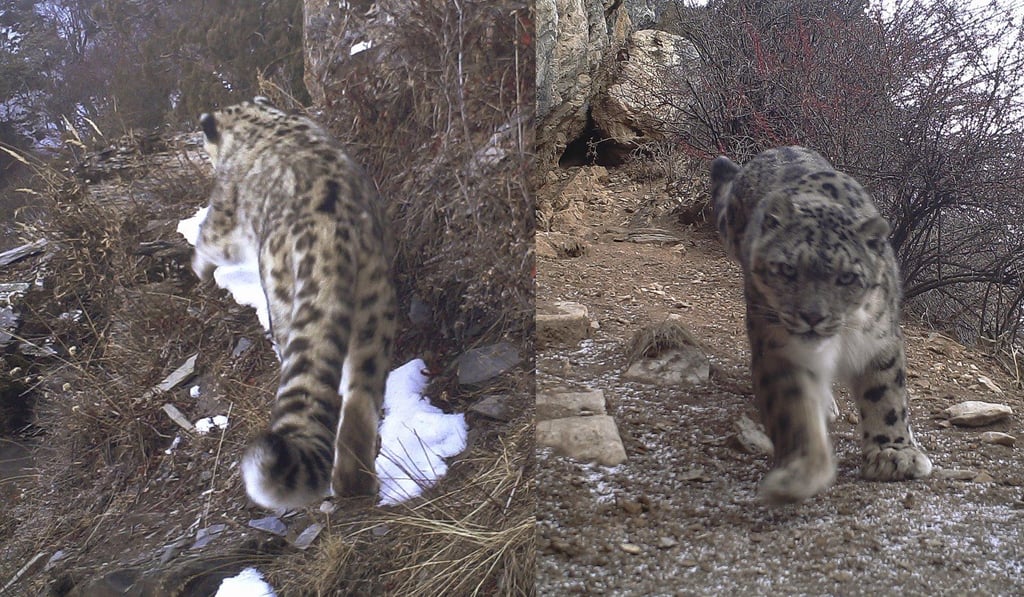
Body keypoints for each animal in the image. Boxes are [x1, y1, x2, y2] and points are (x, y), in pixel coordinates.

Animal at [192, 97, 396, 509]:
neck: (259, 120)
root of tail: (333, 241)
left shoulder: (223, 213)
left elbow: (208, 240)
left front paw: (197, 265)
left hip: (285, 302)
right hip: (374, 309)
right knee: (360, 399)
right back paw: (354, 485)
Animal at [709, 145, 932, 503]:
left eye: (847, 277)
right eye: (787, 270)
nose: (813, 316)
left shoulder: (878, 341)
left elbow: (886, 396)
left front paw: (894, 455)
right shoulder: (777, 348)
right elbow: (794, 409)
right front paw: (800, 473)